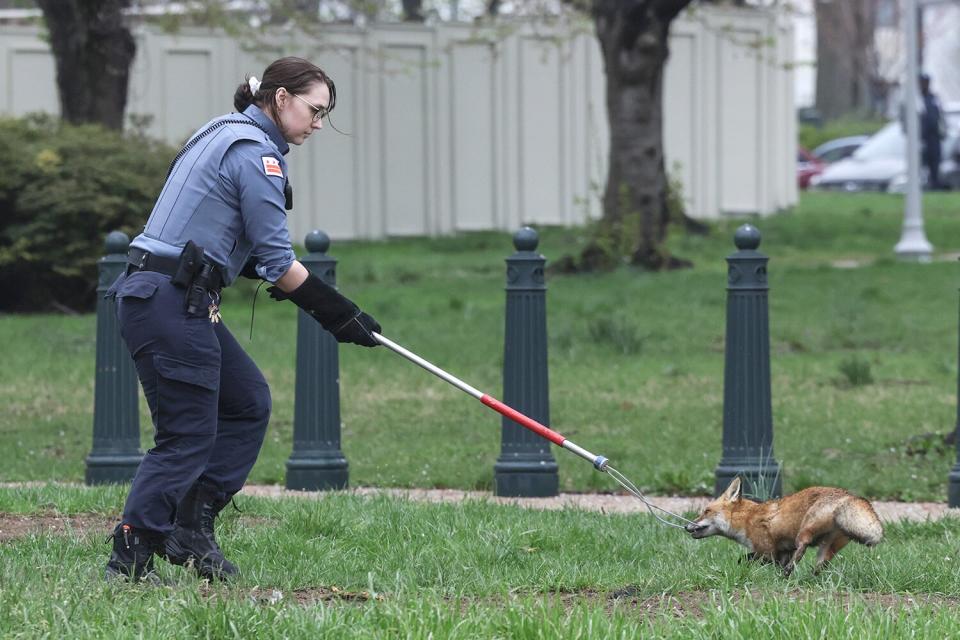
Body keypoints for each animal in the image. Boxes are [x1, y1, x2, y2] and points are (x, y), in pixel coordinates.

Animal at [688, 476, 880, 576]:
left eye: (706, 511)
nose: (686, 527)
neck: (746, 519)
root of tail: (848, 495)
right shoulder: (782, 551)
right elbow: (748, 559)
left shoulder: (767, 550)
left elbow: (747, 559)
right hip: (827, 547)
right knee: (819, 564)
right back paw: (808, 577)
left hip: (805, 530)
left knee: (802, 546)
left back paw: (789, 572)